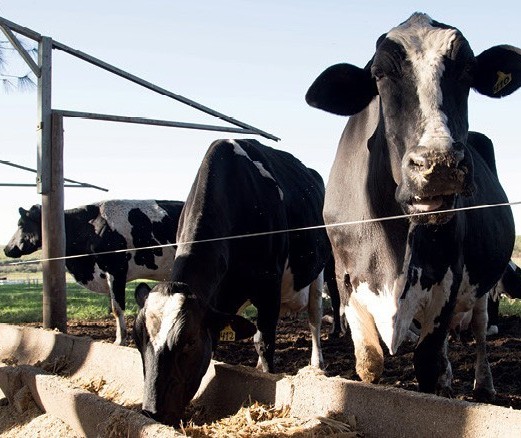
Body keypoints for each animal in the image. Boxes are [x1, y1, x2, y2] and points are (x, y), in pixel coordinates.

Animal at [3, 199, 183, 346]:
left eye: (21, 224)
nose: (6, 249)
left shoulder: (116, 269)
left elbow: (117, 308)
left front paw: (120, 340)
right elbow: (113, 307)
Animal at [133, 138, 330, 424]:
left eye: (189, 341)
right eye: (137, 340)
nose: (152, 412)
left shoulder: (269, 287)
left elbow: (263, 341)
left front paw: (267, 376)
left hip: (319, 270)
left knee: (315, 316)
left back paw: (317, 363)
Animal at [306, 11, 516, 400]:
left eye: (468, 71)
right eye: (378, 74)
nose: (439, 163)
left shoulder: (448, 277)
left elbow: (429, 363)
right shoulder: (346, 278)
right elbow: (369, 362)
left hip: (484, 281)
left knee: (480, 327)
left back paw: (483, 384)